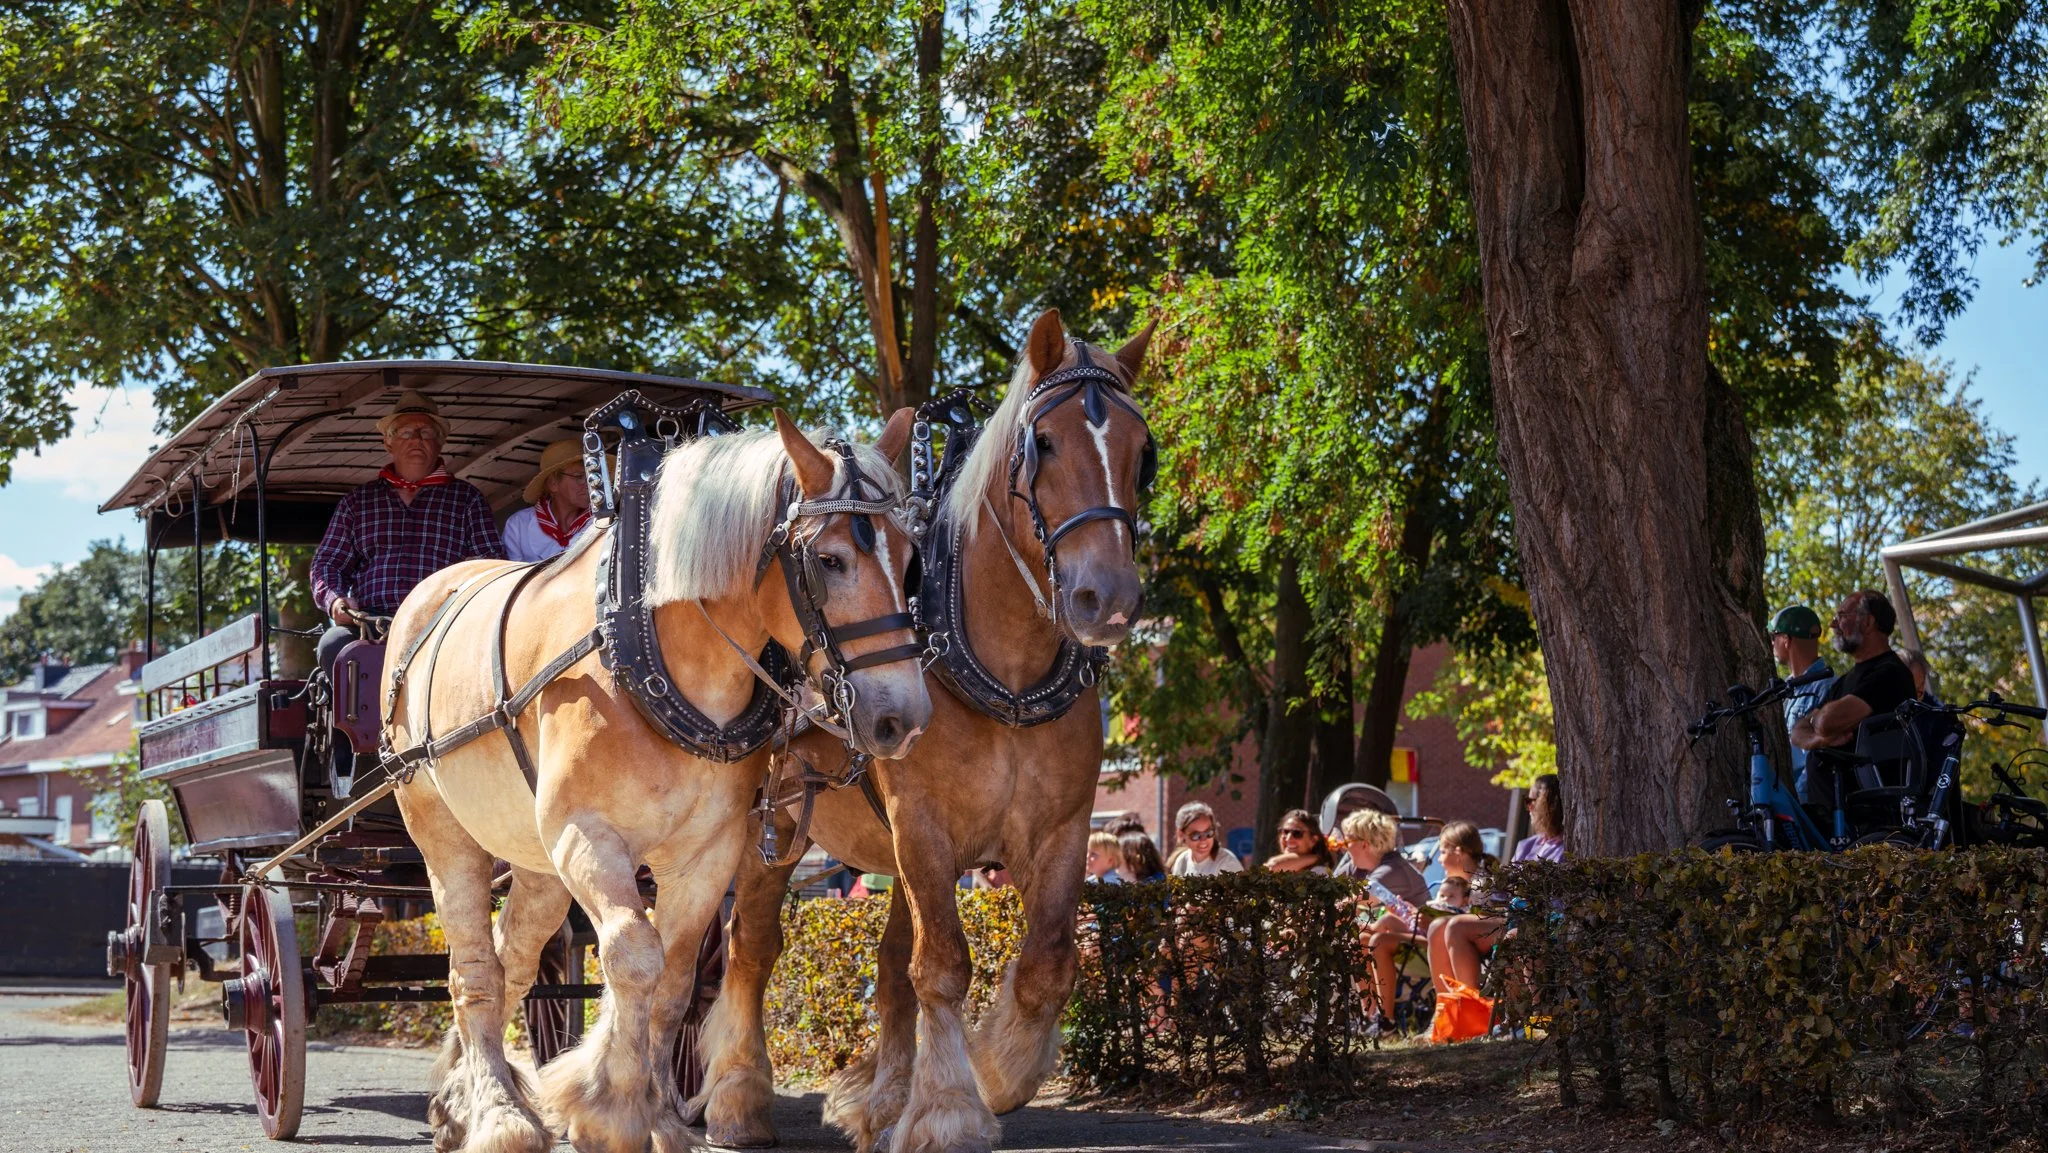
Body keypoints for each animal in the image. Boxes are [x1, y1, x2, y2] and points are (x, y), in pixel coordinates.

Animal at [384, 410, 932, 1153]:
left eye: (910, 559)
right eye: (829, 560)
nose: (902, 716)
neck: (648, 649)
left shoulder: (708, 851)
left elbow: (672, 979)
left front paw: (662, 1118)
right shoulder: (586, 835)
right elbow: (633, 957)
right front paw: (612, 1109)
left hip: (535, 857)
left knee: (512, 960)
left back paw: (460, 1097)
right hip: (443, 831)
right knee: (473, 970)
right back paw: (498, 1114)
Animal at [690, 309, 1155, 1153]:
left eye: (1143, 453)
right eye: (1045, 443)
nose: (1106, 597)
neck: (1004, 673)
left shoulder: (1063, 830)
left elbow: (1044, 965)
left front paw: (990, 1072)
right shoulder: (924, 828)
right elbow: (942, 965)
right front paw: (948, 1109)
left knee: (882, 961)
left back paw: (877, 1095)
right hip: (772, 827)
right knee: (751, 945)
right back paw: (738, 1097)